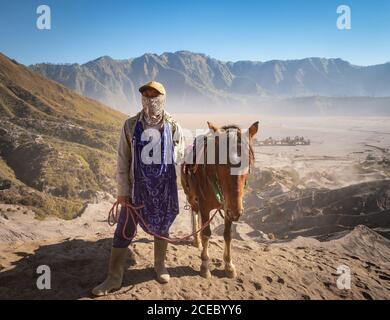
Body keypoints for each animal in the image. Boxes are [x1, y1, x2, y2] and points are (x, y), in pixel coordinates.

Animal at [182, 120, 258, 278]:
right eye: (220, 162)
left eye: (248, 162)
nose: (236, 212)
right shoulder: (205, 207)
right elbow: (206, 233)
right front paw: (205, 265)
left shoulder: (228, 208)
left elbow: (227, 235)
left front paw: (229, 265)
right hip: (192, 198)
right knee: (194, 214)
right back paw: (196, 240)